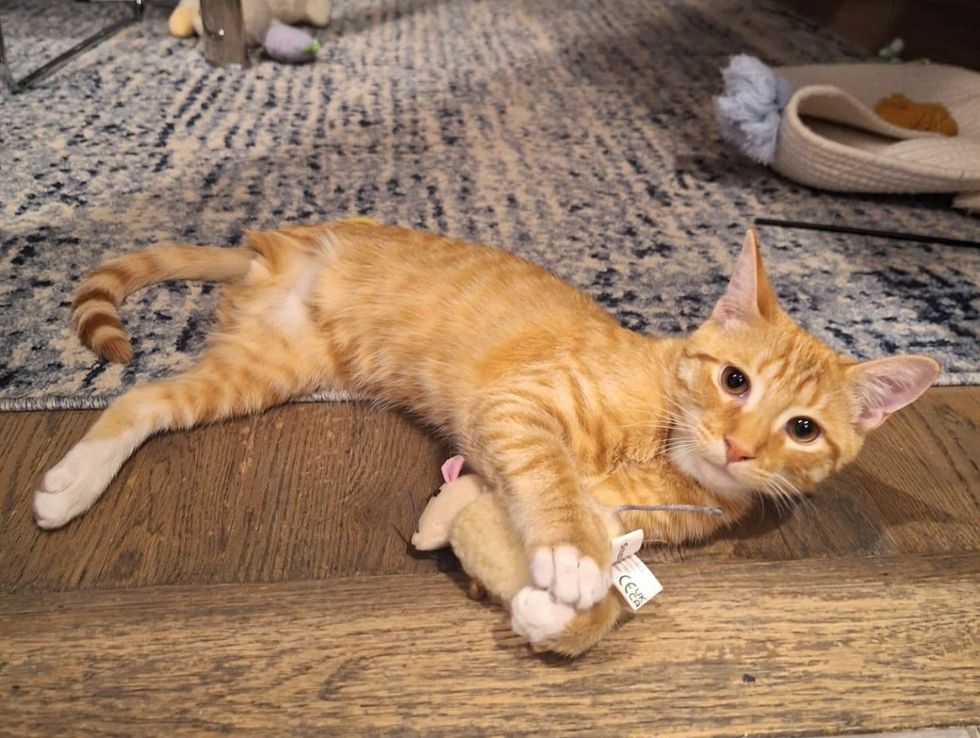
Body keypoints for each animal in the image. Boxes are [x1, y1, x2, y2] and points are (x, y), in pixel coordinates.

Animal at [32, 218, 936, 648]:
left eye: (803, 429)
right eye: (734, 381)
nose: (739, 447)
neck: (664, 450)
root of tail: (272, 242)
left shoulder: (623, 518)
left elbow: (602, 587)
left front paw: (555, 618)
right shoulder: (517, 408)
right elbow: (554, 491)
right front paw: (568, 563)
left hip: (259, 370)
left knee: (147, 400)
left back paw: (75, 481)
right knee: (131, 401)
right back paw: (70, 487)